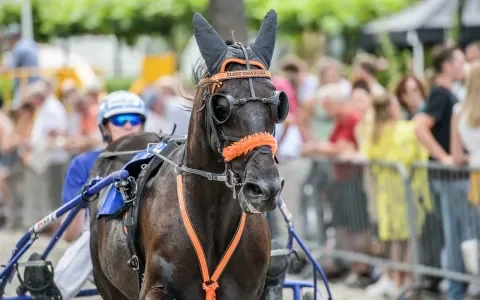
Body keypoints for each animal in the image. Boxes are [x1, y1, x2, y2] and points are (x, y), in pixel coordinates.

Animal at [88, 9, 288, 300]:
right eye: (221, 107)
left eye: (277, 102)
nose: (265, 188)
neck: (212, 223)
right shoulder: (155, 286)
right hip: (105, 280)